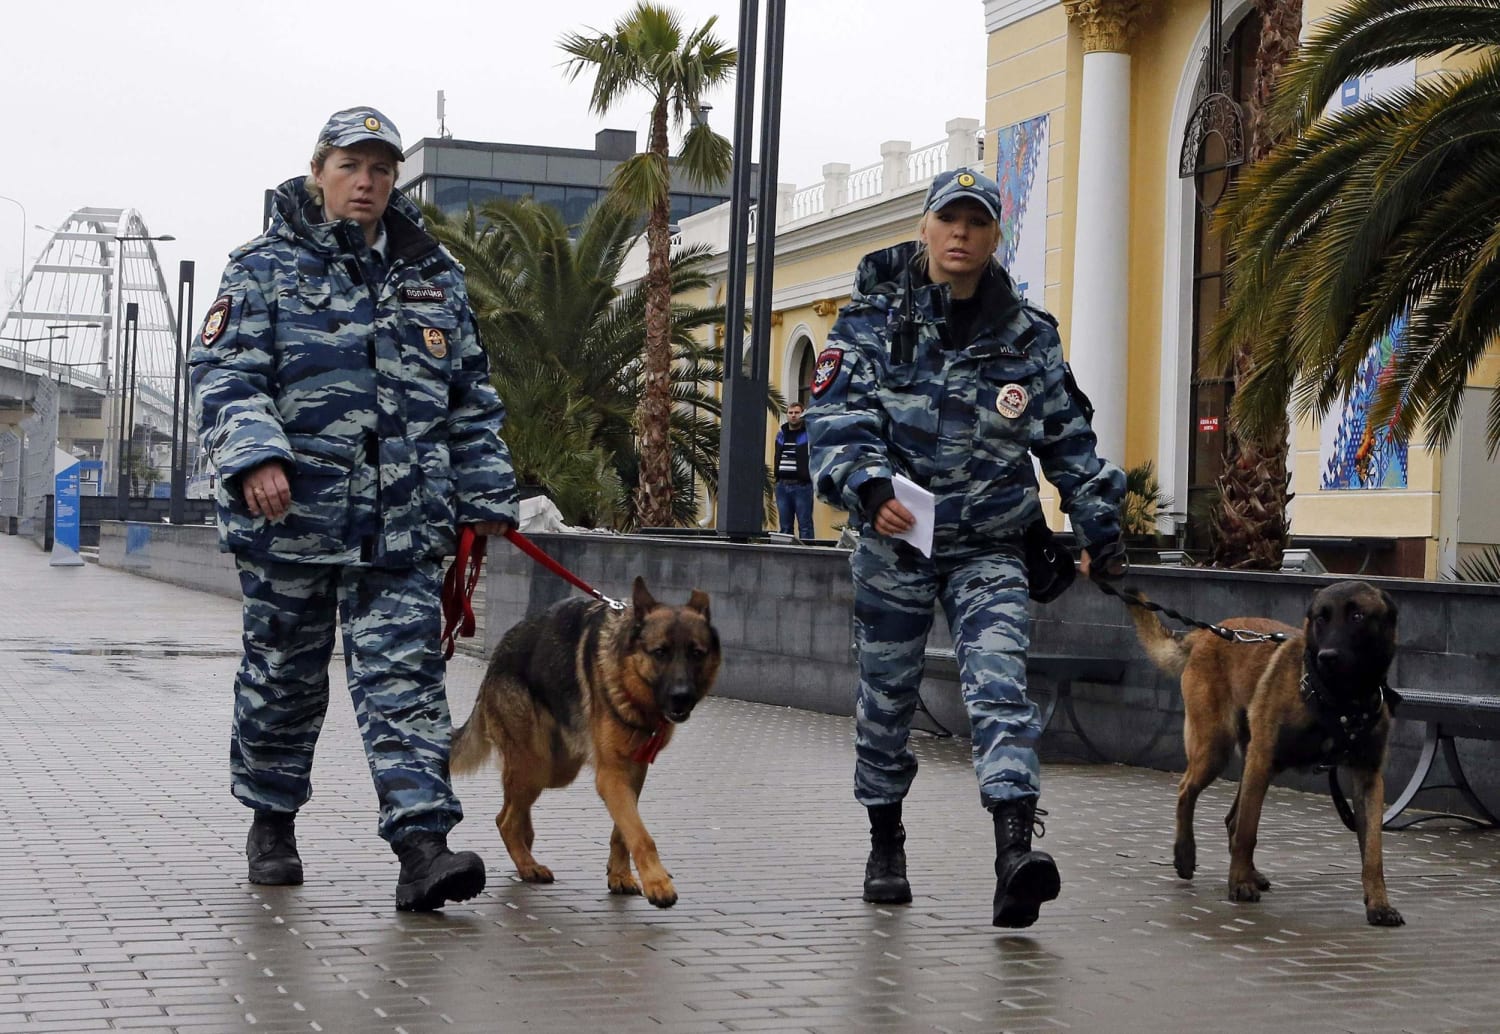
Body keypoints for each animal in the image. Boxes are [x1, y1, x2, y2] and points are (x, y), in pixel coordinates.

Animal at [450, 576, 720, 906]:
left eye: (697, 653)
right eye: (660, 652)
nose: (682, 696)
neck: (630, 682)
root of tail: (496, 658)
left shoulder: (633, 772)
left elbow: (624, 831)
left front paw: (620, 875)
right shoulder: (611, 775)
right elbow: (641, 835)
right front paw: (658, 883)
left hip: (555, 768)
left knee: (511, 808)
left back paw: (527, 847)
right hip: (538, 765)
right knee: (505, 820)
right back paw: (527, 865)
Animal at [1128, 576, 1398, 924]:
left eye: (1357, 616)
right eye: (1321, 618)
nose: (1327, 656)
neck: (1339, 700)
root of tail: (1206, 633)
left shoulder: (1368, 779)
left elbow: (1373, 851)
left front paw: (1379, 903)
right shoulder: (1263, 759)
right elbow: (1248, 831)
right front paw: (1239, 883)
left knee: (1231, 817)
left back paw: (1247, 871)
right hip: (1217, 749)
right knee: (1189, 791)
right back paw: (1186, 855)